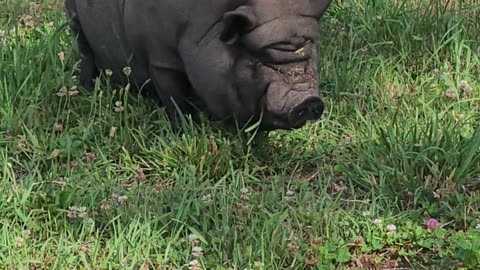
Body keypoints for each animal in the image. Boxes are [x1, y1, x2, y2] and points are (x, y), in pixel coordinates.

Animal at [63, 0, 332, 131]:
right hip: (73, 17)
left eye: (310, 51)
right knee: (85, 51)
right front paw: (185, 131)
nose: (309, 100)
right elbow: (173, 97)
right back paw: (85, 88)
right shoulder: (160, 57)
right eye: (255, 60)